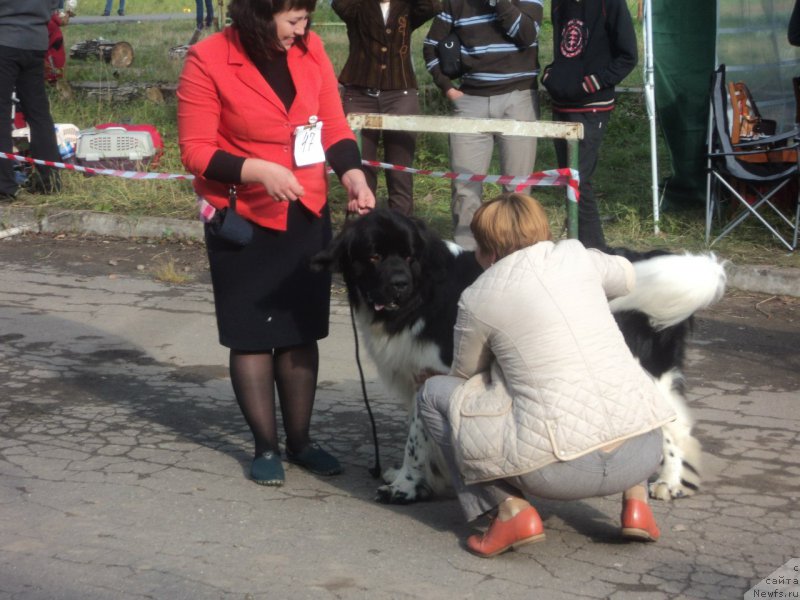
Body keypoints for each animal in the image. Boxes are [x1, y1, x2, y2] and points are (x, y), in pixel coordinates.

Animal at [310, 209, 728, 504]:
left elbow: (417, 437)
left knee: (672, 425)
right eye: (374, 256)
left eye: (410, 257)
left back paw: (667, 482)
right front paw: (413, 478)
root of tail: (636, 261)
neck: (422, 293)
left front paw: (406, 487)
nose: (399, 283)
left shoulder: (434, 373)